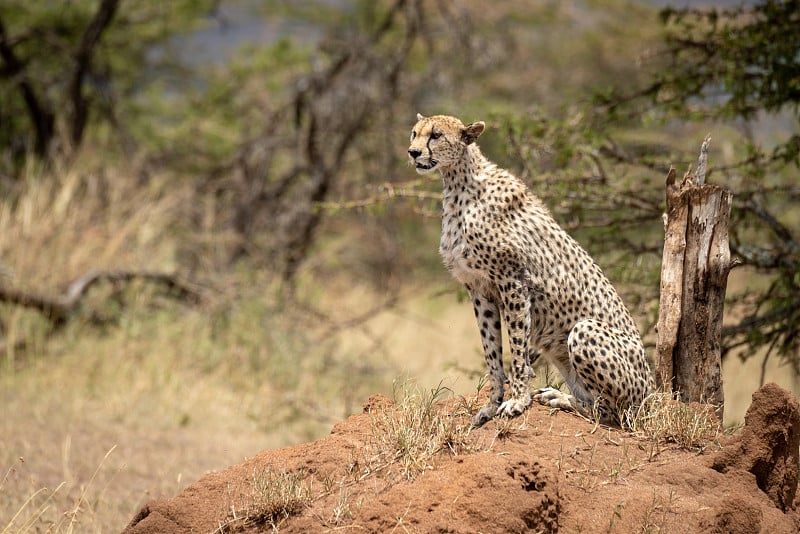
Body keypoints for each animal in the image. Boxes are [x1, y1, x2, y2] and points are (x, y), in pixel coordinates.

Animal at [410, 113, 652, 428]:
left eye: (436, 135)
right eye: (414, 133)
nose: (413, 152)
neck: (457, 184)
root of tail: (653, 394)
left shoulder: (512, 281)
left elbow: (517, 349)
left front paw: (517, 400)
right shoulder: (479, 289)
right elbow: (492, 352)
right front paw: (491, 405)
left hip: (586, 332)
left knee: (614, 414)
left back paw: (561, 399)